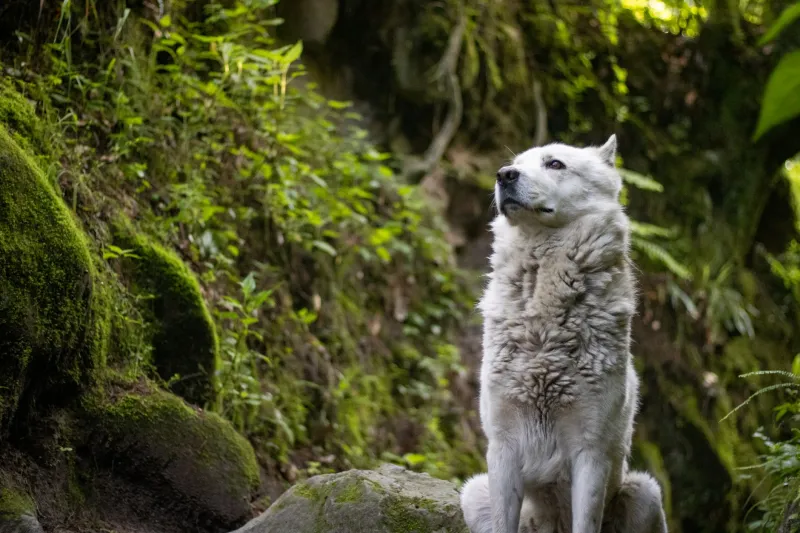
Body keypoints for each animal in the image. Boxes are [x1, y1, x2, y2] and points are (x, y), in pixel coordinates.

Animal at [460, 135, 668, 533]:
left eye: (555, 164)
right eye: (516, 163)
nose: (504, 175)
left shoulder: (591, 453)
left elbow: (586, 522)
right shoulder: (503, 447)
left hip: (645, 492)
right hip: (472, 492)